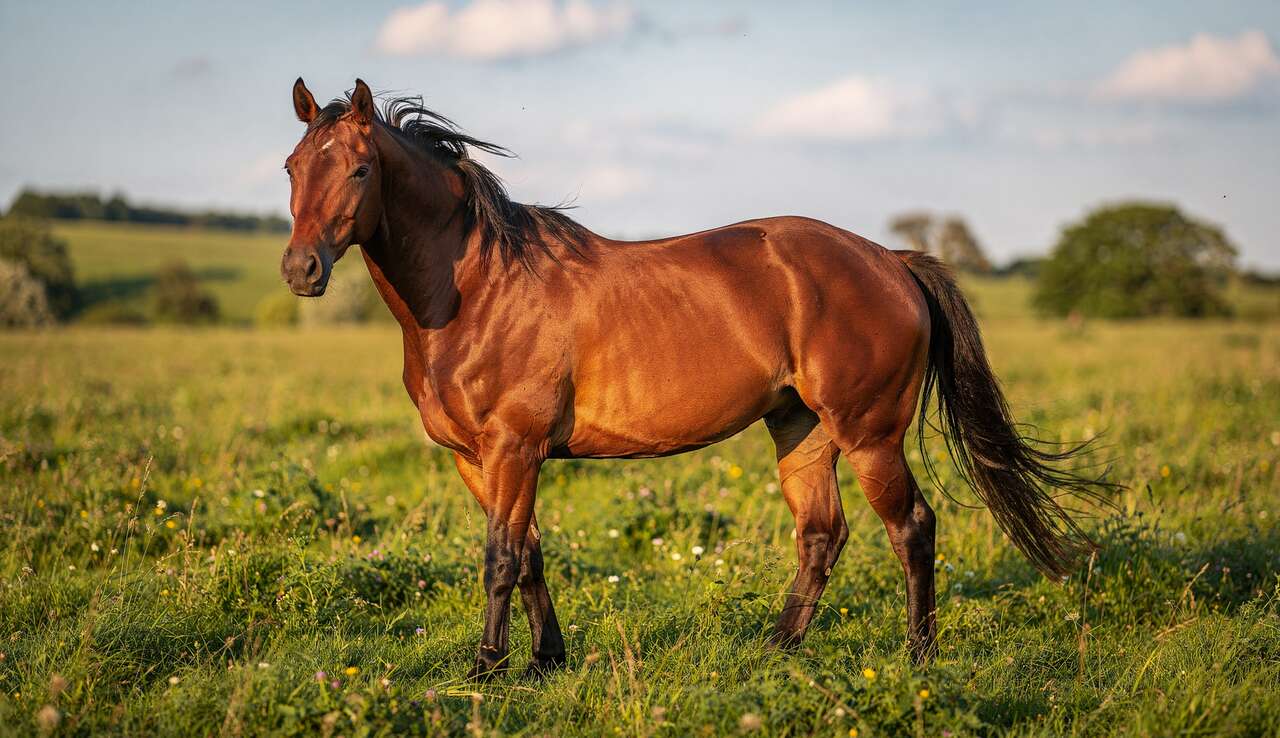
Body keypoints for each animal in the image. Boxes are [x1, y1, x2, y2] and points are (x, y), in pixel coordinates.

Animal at [280, 79, 1112, 680]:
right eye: (292, 167)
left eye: (359, 167)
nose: (300, 270)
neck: (477, 289)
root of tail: (891, 260)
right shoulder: (475, 459)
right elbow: (532, 552)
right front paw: (546, 662)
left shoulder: (513, 449)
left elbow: (500, 559)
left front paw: (486, 671)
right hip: (801, 430)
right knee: (822, 535)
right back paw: (773, 651)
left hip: (869, 433)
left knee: (911, 527)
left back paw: (918, 657)